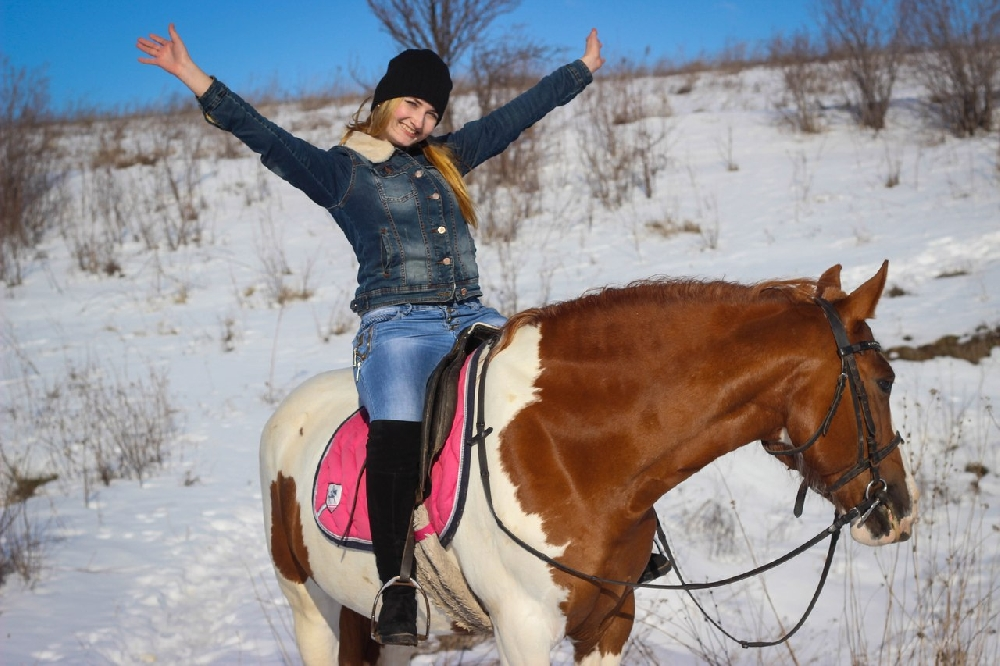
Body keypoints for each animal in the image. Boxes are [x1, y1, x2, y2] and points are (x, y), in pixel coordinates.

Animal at [262, 262, 916, 660]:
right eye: (884, 380)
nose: (899, 513)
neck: (573, 453)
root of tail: (286, 415)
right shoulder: (524, 633)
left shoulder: (609, 623)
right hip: (310, 608)